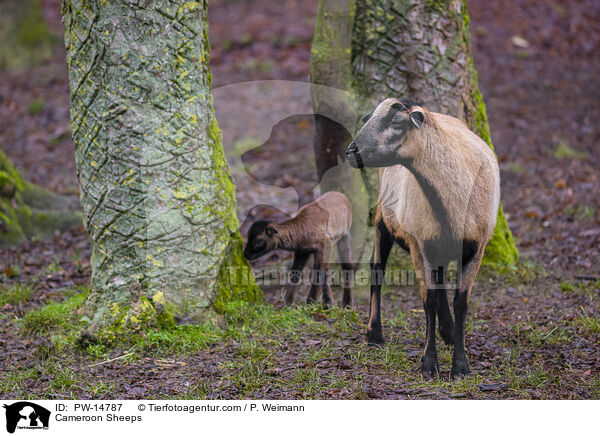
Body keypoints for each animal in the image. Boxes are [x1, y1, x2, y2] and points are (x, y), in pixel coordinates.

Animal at [344, 97, 500, 376]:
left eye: (397, 123)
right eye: (370, 118)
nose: (350, 153)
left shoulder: (477, 246)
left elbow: (460, 302)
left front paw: (460, 365)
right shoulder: (419, 244)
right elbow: (429, 302)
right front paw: (429, 363)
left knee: (440, 282)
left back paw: (448, 332)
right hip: (384, 219)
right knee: (377, 269)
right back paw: (374, 333)